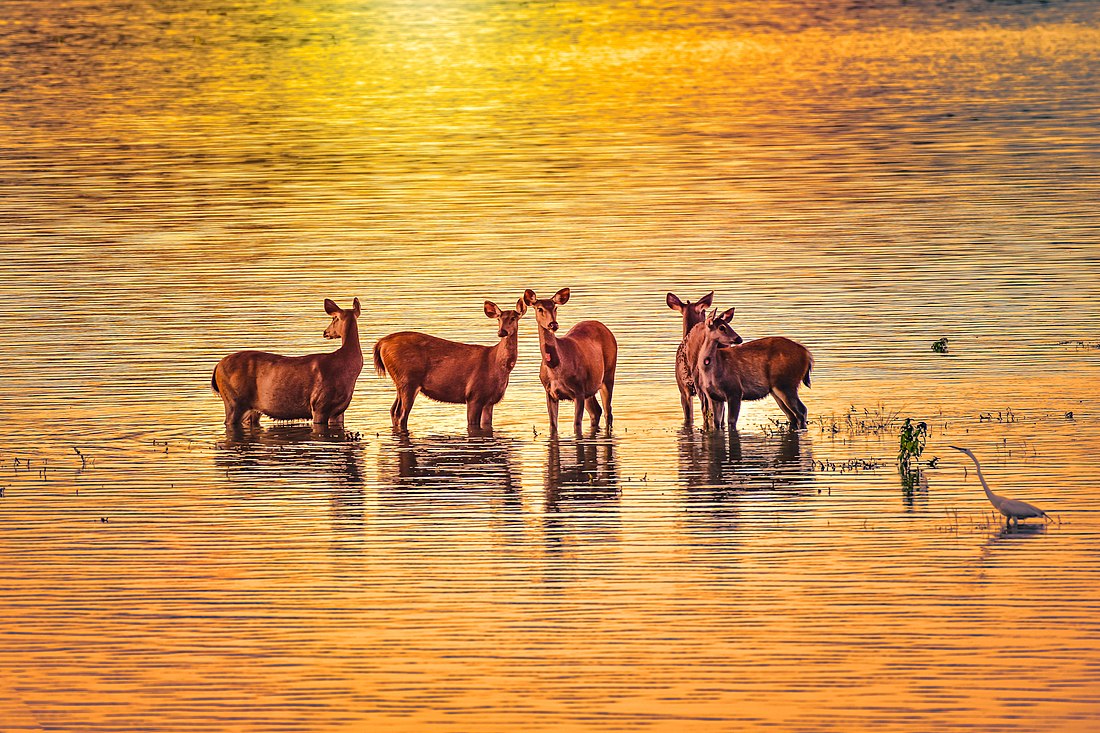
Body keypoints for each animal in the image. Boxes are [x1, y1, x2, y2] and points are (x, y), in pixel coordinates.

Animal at [213, 294, 365, 424]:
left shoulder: (339, 411)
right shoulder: (319, 405)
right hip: (233, 401)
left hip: (251, 409)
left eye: (334, 318)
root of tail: (216, 368)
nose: (325, 332)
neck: (345, 366)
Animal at [374, 294, 528, 429]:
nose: (501, 332)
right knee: (401, 414)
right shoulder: (474, 395)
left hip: (401, 382)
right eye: (498, 319)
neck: (499, 365)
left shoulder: (489, 401)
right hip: (408, 380)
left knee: (393, 410)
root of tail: (381, 343)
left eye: (513, 318)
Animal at [519, 286, 616, 433]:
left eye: (555, 307)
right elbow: (553, 425)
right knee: (596, 411)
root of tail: (606, 329)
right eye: (539, 308)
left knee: (607, 412)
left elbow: (576, 424)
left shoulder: (579, 391)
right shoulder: (549, 392)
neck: (555, 369)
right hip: (590, 387)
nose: (553, 324)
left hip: (608, 374)